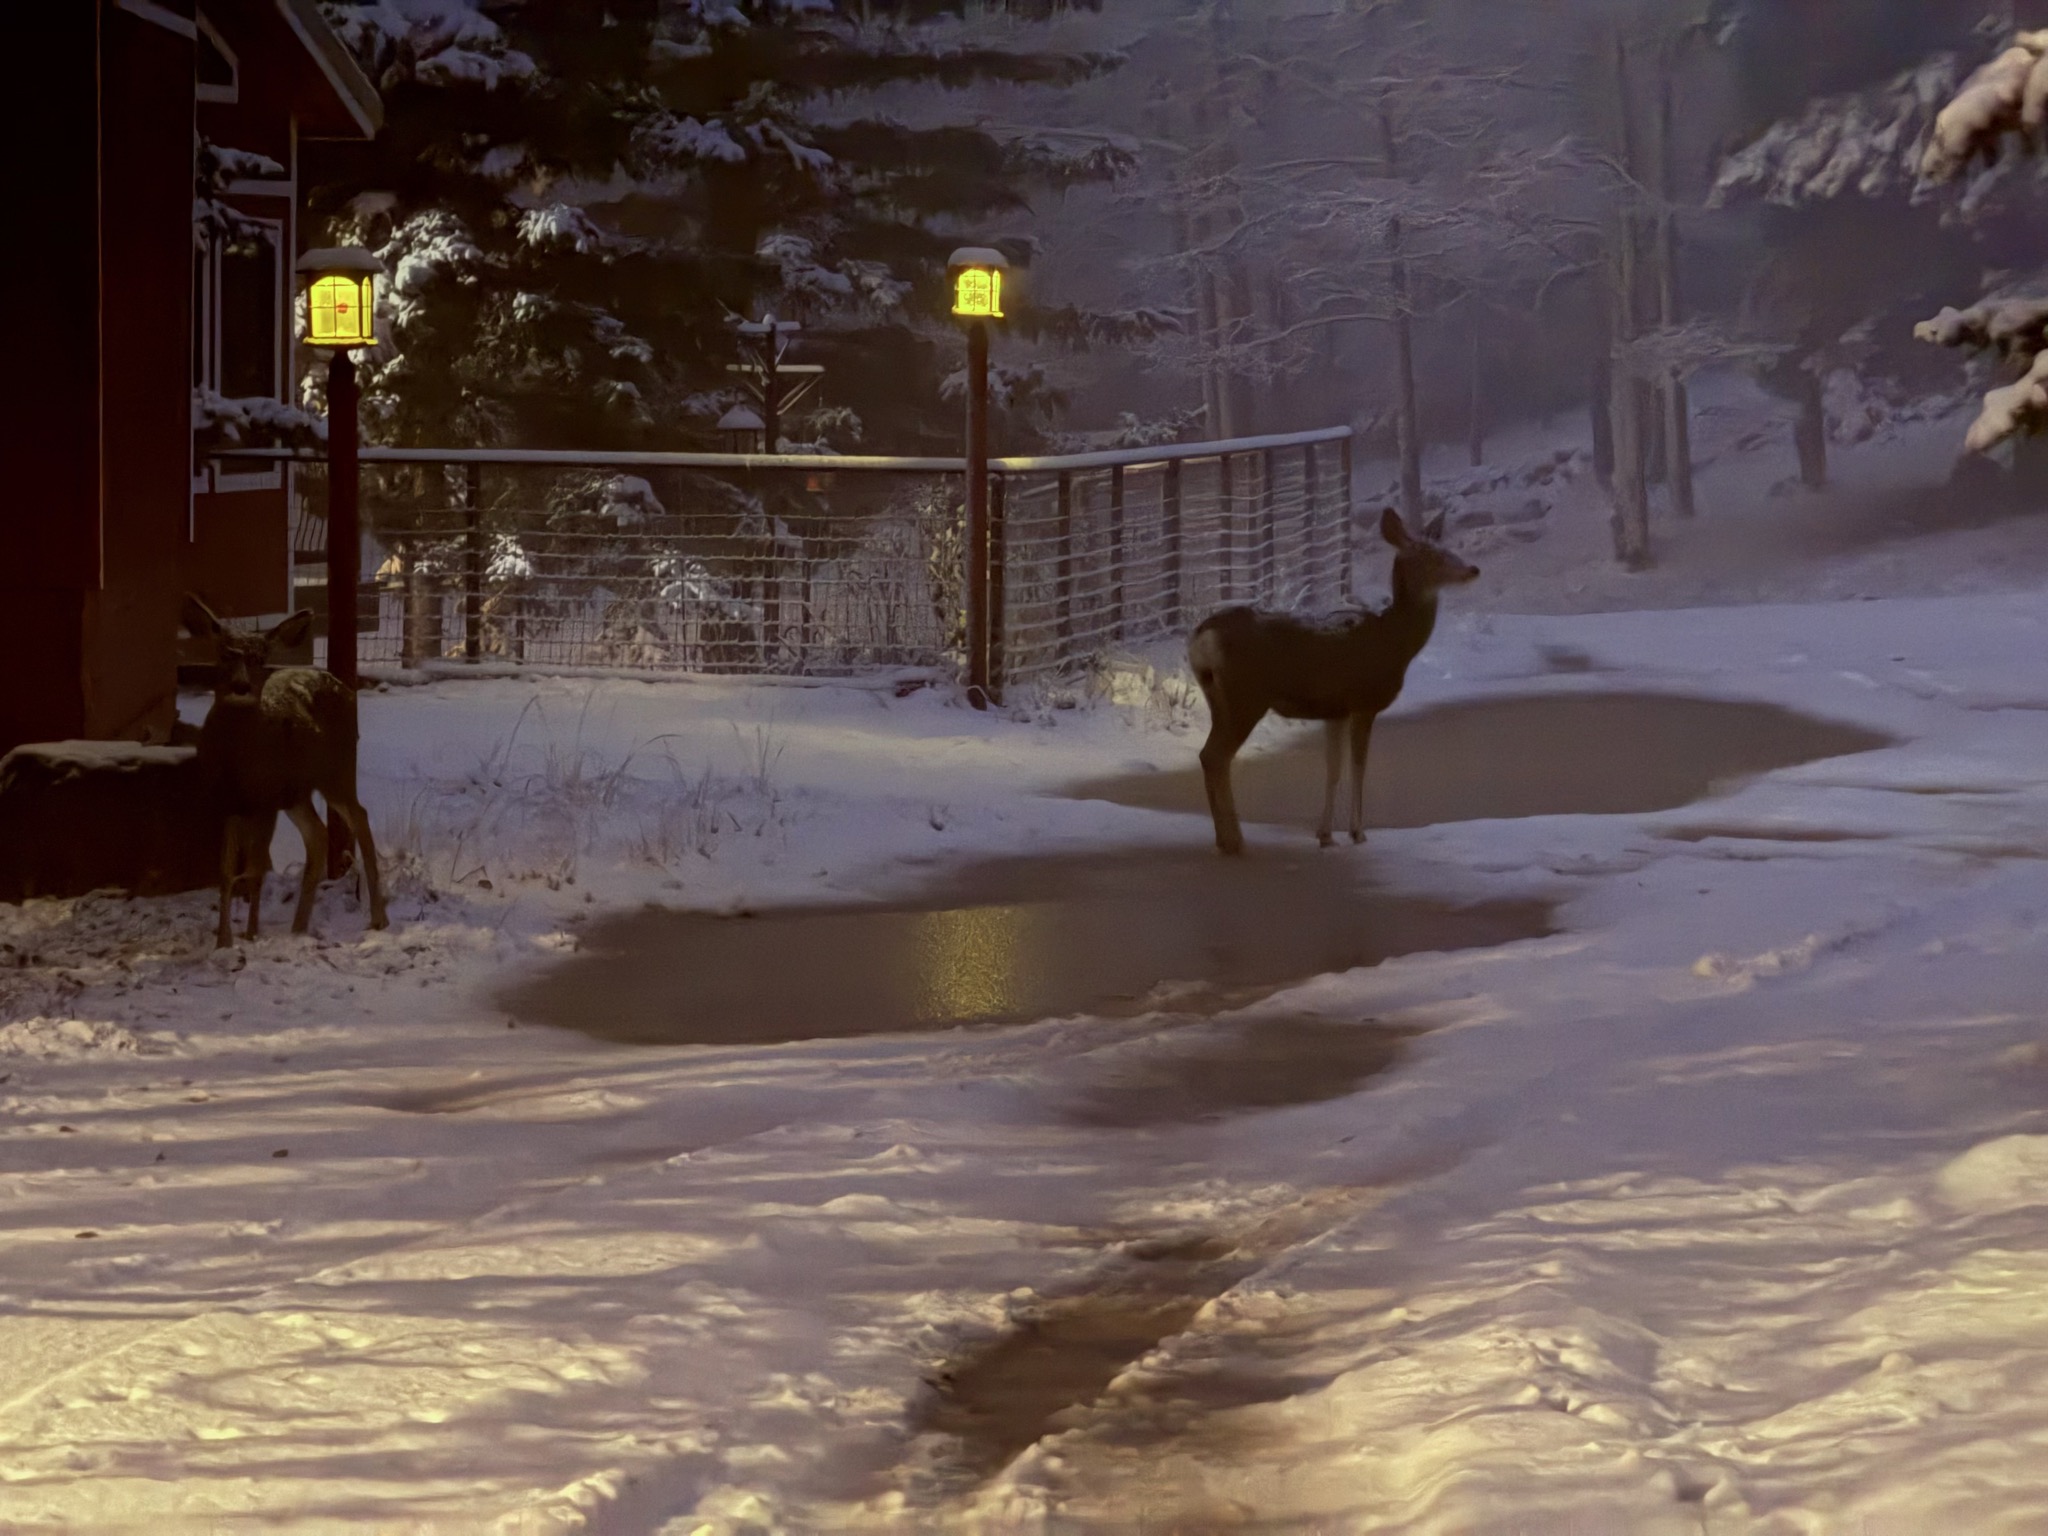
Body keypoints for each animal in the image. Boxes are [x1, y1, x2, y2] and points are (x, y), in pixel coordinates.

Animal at [181, 595, 388, 947]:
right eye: (225, 653)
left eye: (260, 658)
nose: (241, 686)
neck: (237, 761)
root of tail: (344, 686)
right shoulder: (228, 802)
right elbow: (226, 872)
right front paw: (224, 941)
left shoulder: (265, 799)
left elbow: (254, 871)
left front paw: (250, 935)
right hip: (296, 793)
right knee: (318, 834)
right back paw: (298, 927)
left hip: (337, 770)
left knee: (358, 816)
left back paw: (378, 918)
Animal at [1187, 508, 1479, 856]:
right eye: (1431, 556)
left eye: (1445, 548)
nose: (1473, 569)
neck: (1394, 642)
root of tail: (1202, 637)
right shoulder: (1363, 702)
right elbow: (1358, 767)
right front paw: (1357, 833)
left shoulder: (1334, 710)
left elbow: (1333, 769)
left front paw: (1325, 835)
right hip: (1244, 697)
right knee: (1216, 756)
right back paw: (1234, 840)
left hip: (1216, 695)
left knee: (1208, 756)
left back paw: (1224, 838)